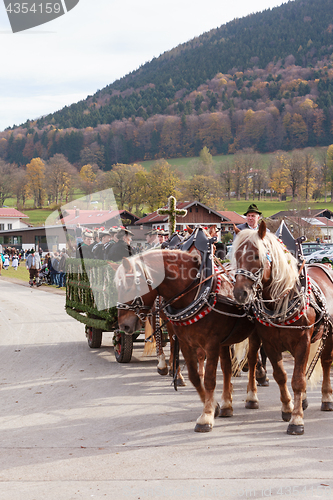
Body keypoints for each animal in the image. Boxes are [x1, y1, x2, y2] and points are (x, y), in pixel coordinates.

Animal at [115, 244, 254, 432]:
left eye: (128, 287)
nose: (123, 326)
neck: (195, 293)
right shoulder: (187, 342)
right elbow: (195, 377)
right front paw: (214, 405)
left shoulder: (211, 344)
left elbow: (209, 379)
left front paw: (206, 416)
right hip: (224, 342)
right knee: (226, 368)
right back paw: (227, 404)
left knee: (253, 363)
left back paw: (252, 396)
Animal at [231, 221, 332, 436]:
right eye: (236, 256)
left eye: (256, 256)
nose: (240, 293)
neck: (281, 300)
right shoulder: (270, 343)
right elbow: (281, 376)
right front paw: (288, 408)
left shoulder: (303, 341)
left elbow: (298, 380)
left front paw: (296, 420)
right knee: (252, 359)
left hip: (328, 335)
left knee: (326, 361)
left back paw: (326, 398)